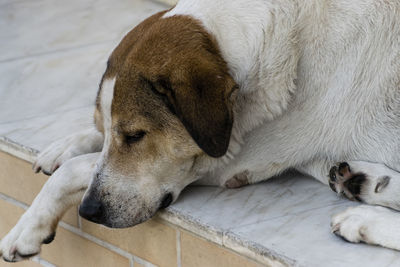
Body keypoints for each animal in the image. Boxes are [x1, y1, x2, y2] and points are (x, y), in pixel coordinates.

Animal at [0, 0, 400, 262]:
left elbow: (76, 169)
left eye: (136, 136)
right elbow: (91, 151)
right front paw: (65, 145)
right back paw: (364, 181)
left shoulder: (227, 159)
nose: (89, 211)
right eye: (117, 131)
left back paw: (362, 220)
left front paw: (26, 227)